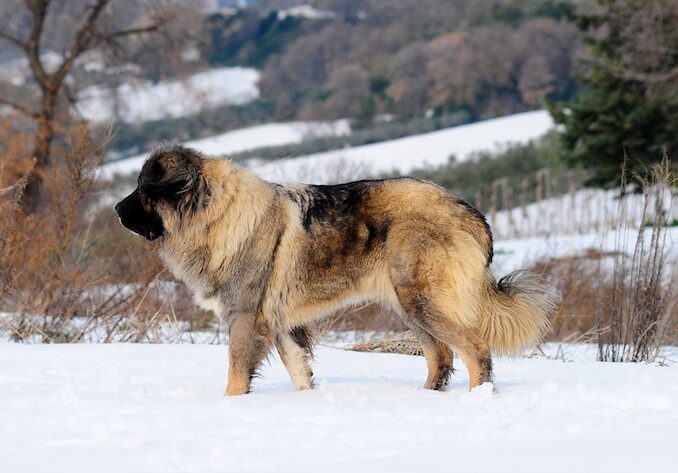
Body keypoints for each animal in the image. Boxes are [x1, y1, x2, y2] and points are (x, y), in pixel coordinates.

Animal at [115, 144, 552, 394]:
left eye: (144, 190)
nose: (116, 209)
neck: (217, 214)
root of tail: (470, 212)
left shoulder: (244, 317)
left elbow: (236, 373)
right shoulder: (280, 323)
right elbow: (298, 370)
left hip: (423, 300)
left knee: (475, 351)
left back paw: (477, 399)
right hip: (409, 306)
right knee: (441, 356)